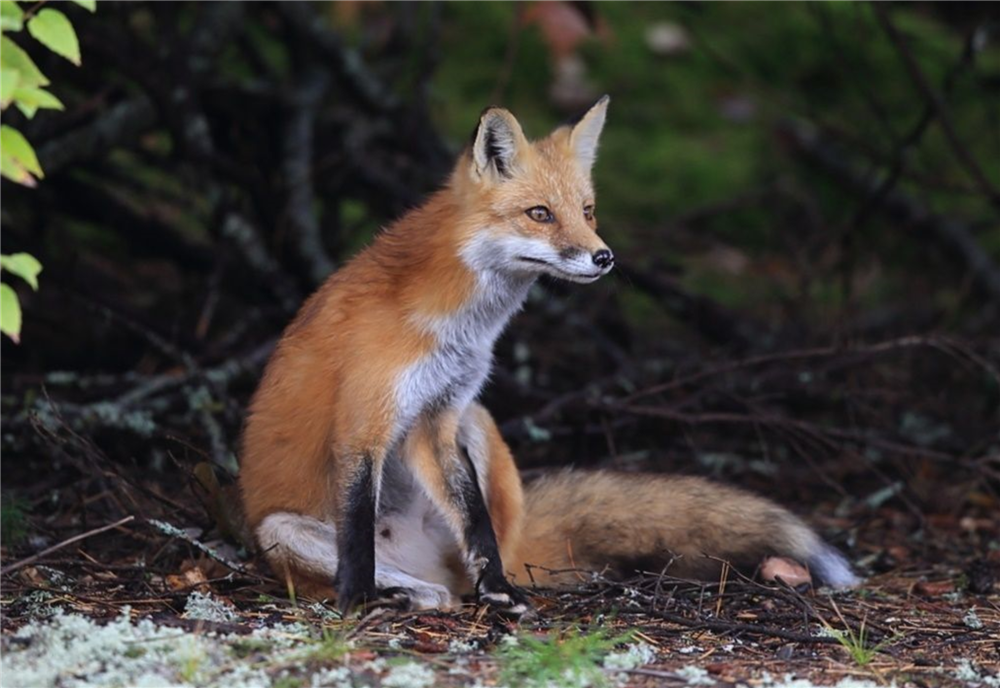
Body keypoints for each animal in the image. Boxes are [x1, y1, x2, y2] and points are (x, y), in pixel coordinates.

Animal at [240, 95, 616, 612]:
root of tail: (416, 561)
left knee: (466, 569)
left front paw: (497, 586)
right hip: (281, 530)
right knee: (398, 580)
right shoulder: (363, 421)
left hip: (476, 421)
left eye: (588, 211)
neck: (457, 330)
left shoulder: (438, 416)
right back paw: (395, 593)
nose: (604, 257)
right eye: (540, 213)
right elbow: (357, 531)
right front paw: (357, 599)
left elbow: (474, 516)